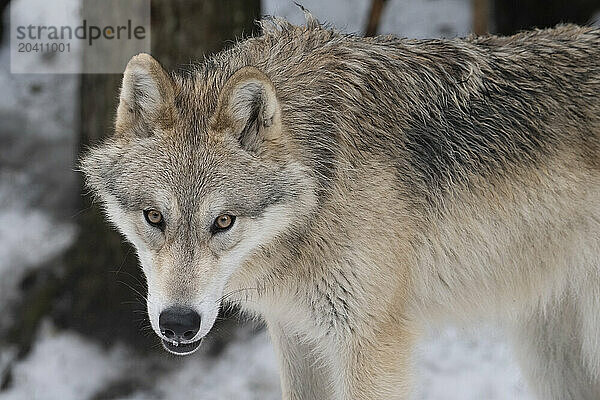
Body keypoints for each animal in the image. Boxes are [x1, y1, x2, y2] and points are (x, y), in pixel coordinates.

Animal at [82, 12, 600, 400]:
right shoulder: (295, 333)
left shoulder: (369, 345)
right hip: (546, 350)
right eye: (154, 217)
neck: (322, 189)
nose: (178, 323)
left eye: (224, 221)